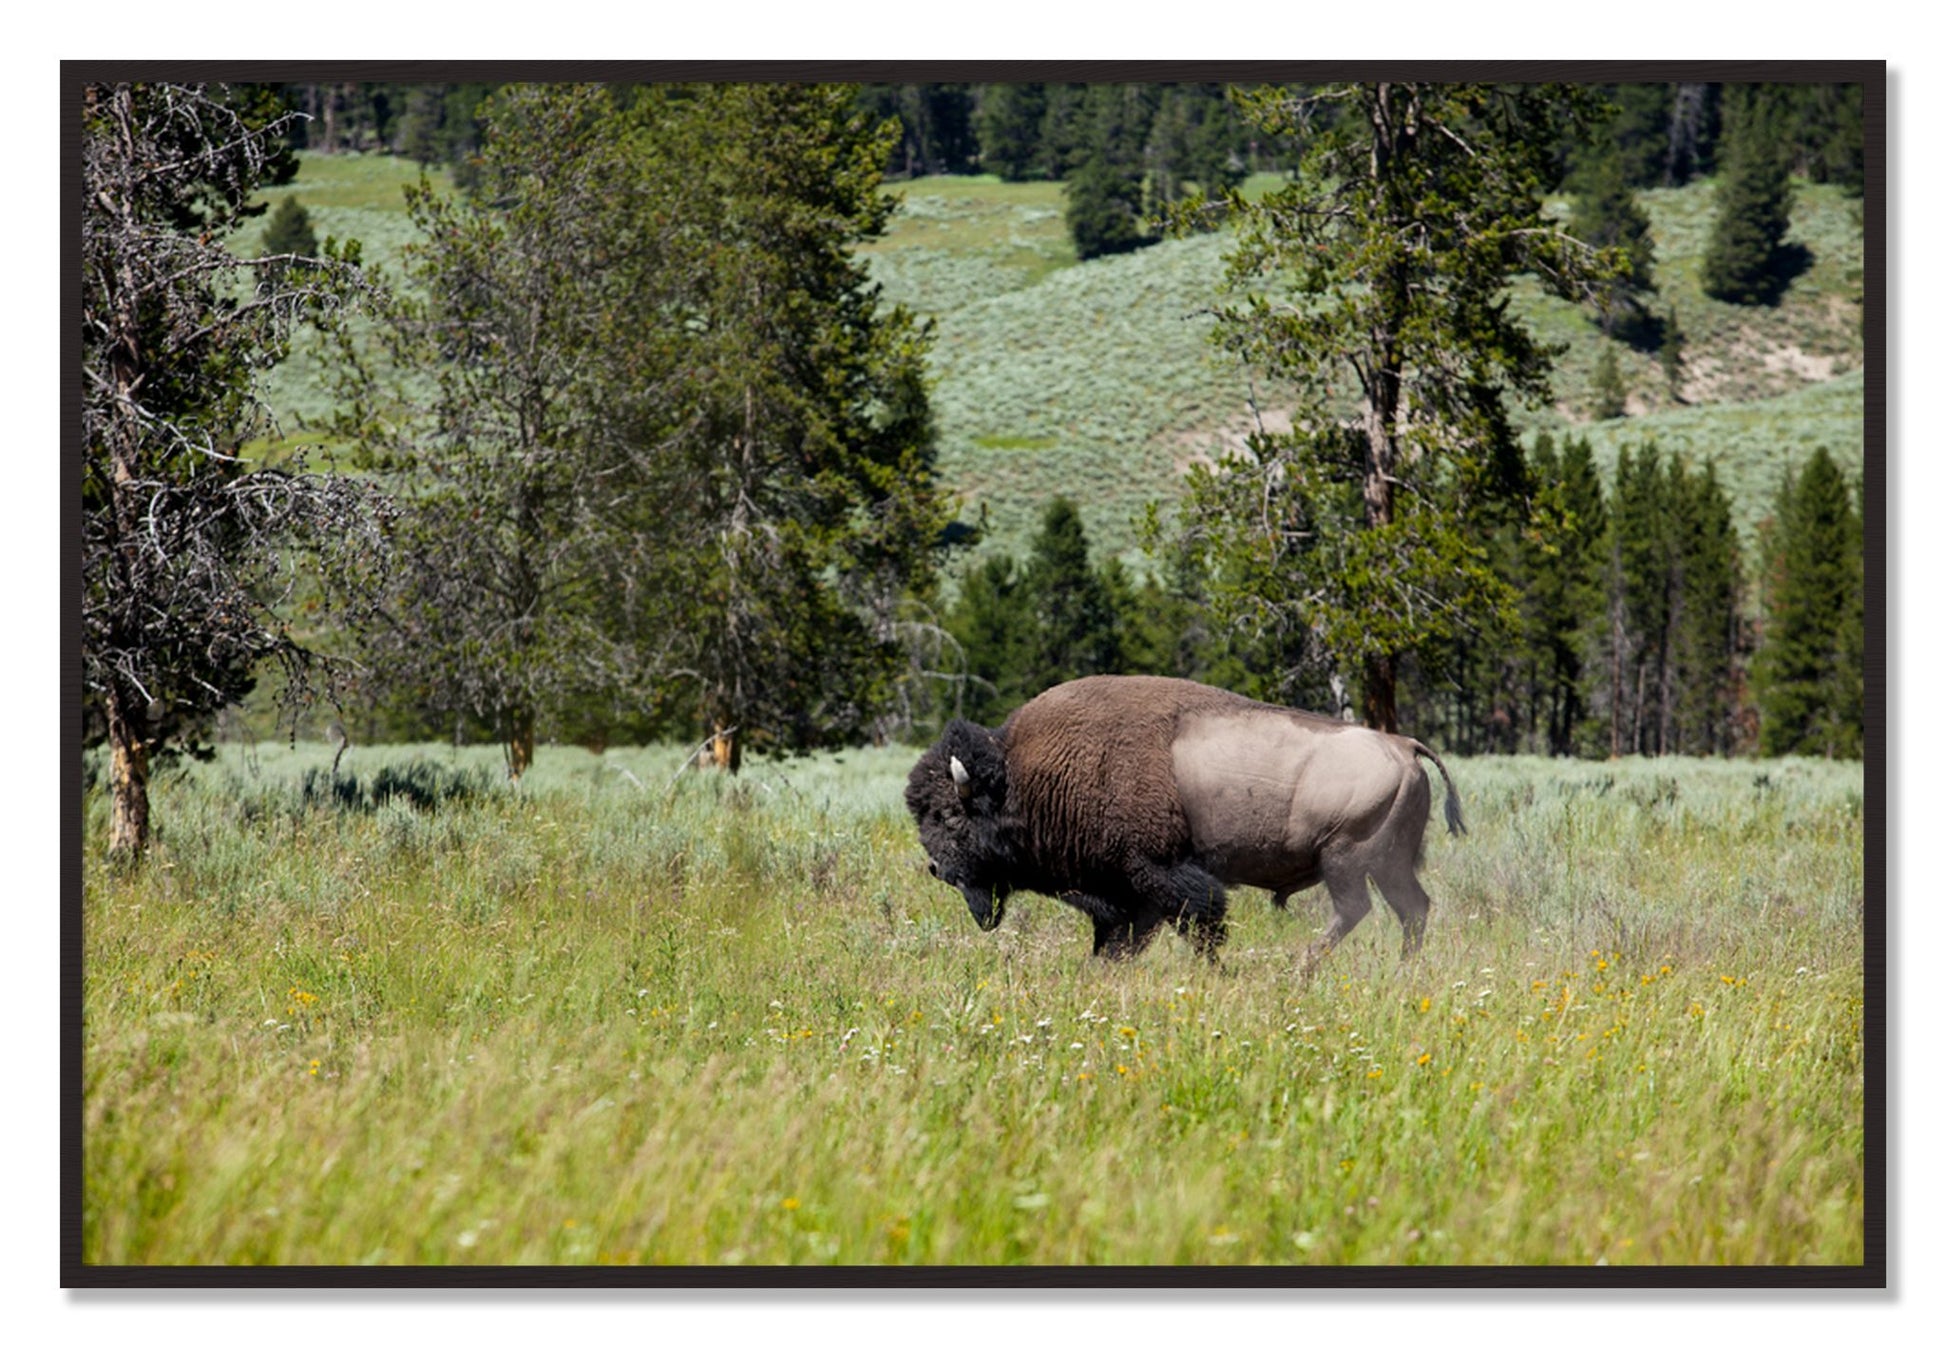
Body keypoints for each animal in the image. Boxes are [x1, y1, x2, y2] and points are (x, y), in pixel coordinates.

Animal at [905, 675, 1465, 971]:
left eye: (949, 815)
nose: (937, 868)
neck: (1023, 776)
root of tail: (1403, 745)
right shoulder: (1127, 894)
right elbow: (1121, 939)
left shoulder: (1159, 874)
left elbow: (1200, 923)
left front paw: (1216, 971)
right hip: (1388, 864)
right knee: (1412, 909)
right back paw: (1402, 969)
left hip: (1345, 858)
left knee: (1356, 910)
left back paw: (1300, 968)